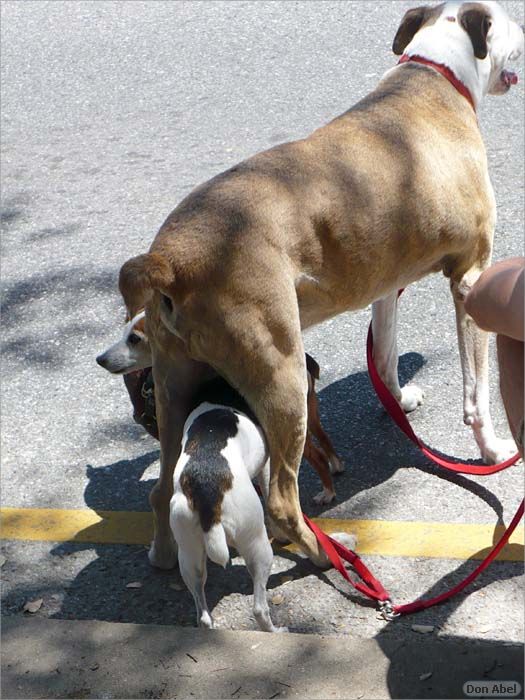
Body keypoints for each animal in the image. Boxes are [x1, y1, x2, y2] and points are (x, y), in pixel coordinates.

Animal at [119, 1, 524, 568]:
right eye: (508, 21)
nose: (524, 31)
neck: (433, 72)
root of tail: (169, 258)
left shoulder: (385, 287)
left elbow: (384, 356)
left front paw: (398, 401)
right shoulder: (470, 278)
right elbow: (477, 392)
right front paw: (491, 449)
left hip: (174, 383)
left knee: (161, 486)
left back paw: (163, 555)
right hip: (282, 377)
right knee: (280, 500)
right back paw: (326, 554)